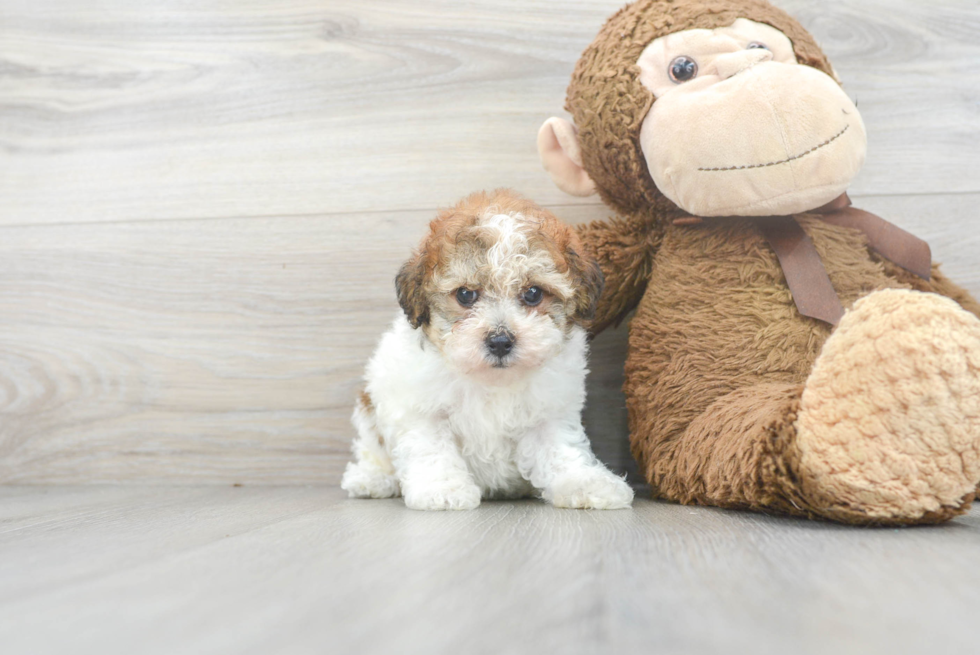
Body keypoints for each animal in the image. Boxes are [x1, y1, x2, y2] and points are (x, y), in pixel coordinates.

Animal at [342, 190, 636, 512]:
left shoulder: (549, 412)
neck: (490, 381)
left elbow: (561, 449)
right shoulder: (421, 409)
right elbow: (432, 448)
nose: (499, 341)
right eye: (465, 295)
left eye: (533, 293)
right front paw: (442, 489)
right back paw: (372, 479)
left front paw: (584, 481)